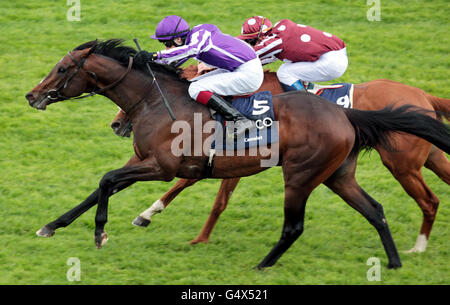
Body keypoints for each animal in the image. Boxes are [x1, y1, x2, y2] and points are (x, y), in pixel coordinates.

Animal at [110, 64, 450, 252]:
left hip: (402, 165)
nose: (117, 124)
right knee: (436, 192)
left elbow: (207, 193)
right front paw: (149, 214)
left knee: (428, 200)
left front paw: (196, 236)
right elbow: (190, 182)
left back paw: (418, 247)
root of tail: (424, 95)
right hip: (429, 157)